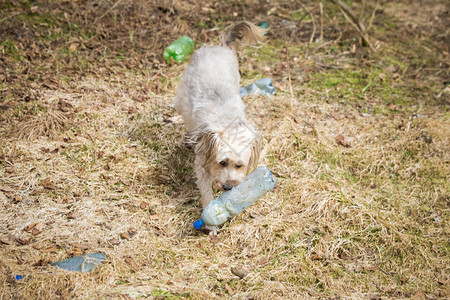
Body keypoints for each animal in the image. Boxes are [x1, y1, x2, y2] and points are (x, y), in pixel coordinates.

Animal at [172, 21, 264, 230]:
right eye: (222, 162)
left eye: (239, 165)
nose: (228, 187)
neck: (228, 123)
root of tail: (219, 47)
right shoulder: (202, 164)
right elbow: (206, 193)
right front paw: (212, 224)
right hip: (184, 96)